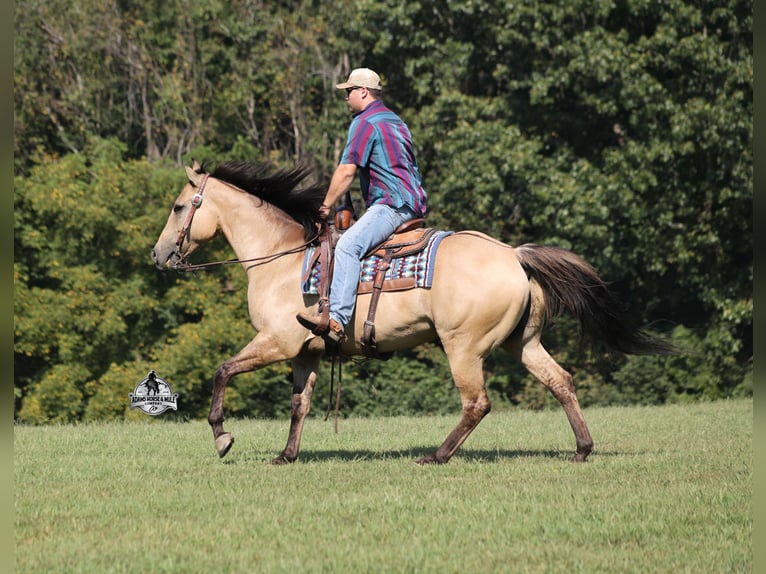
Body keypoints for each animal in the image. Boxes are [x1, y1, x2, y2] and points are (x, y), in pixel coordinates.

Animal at [151, 160, 674, 465]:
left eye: (178, 207)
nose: (158, 256)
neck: (281, 260)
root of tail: (513, 255)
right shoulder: (306, 352)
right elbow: (300, 403)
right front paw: (287, 455)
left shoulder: (277, 342)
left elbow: (222, 371)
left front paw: (222, 437)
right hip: (522, 343)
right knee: (560, 381)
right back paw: (583, 449)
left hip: (463, 347)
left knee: (477, 402)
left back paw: (437, 455)